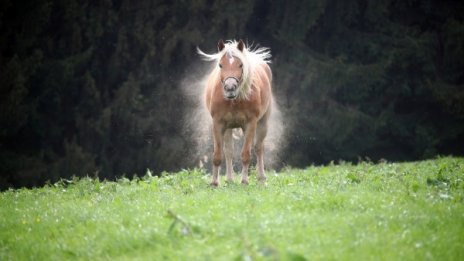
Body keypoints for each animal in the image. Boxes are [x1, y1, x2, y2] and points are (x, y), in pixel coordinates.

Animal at [198, 39, 274, 185]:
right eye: (221, 65)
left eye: (240, 65)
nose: (230, 88)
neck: (233, 101)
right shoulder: (218, 124)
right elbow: (218, 155)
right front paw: (214, 183)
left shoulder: (250, 124)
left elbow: (246, 154)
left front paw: (244, 181)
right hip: (228, 128)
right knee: (229, 151)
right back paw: (229, 179)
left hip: (263, 123)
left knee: (258, 148)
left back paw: (261, 178)